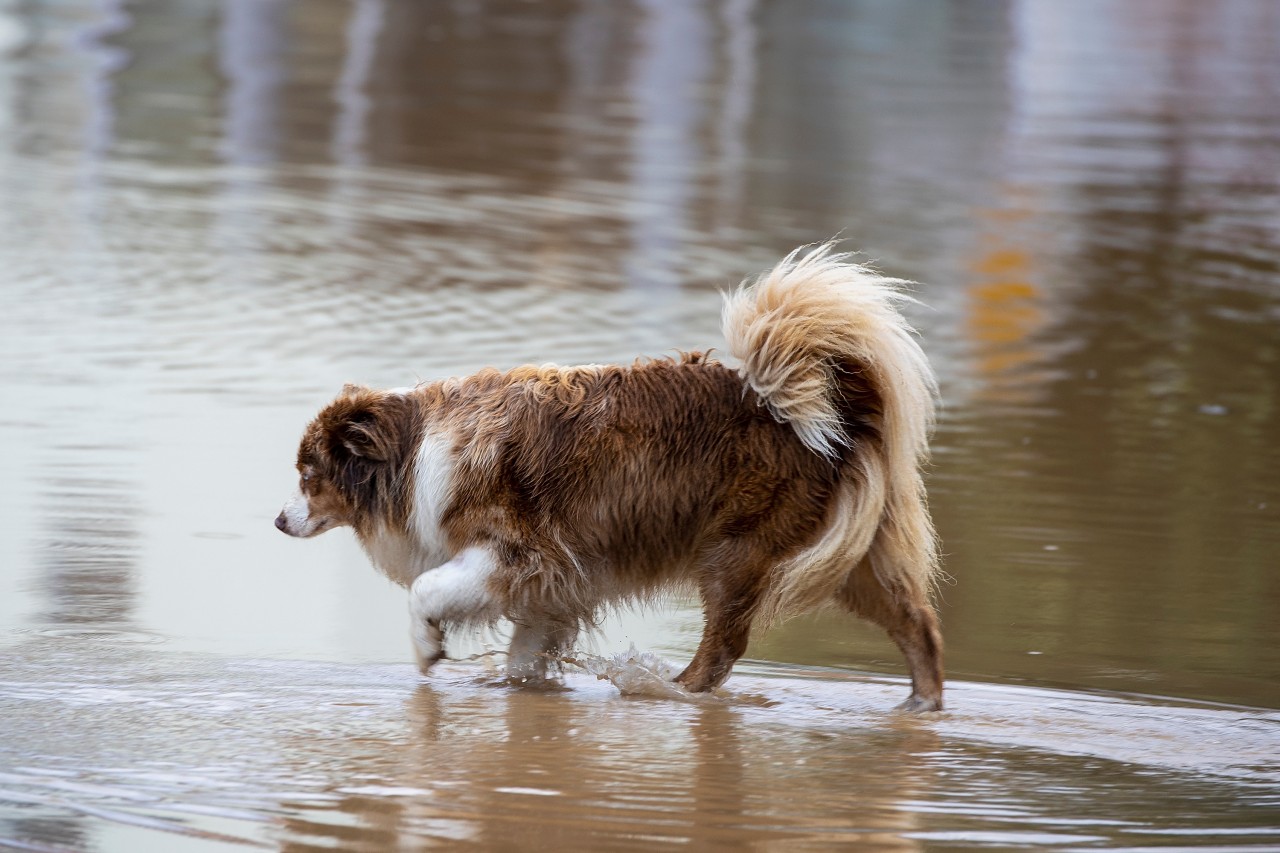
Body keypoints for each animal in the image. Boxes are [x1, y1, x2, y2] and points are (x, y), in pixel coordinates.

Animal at [277, 244, 942, 712]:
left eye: (308, 474)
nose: (279, 520)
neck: (413, 449)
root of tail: (825, 415)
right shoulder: (549, 589)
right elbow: (524, 656)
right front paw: (518, 694)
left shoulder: (515, 554)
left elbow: (426, 590)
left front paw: (427, 648)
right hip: (851, 561)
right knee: (918, 626)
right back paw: (922, 704)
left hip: (734, 551)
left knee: (724, 647)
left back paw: (671, 689)